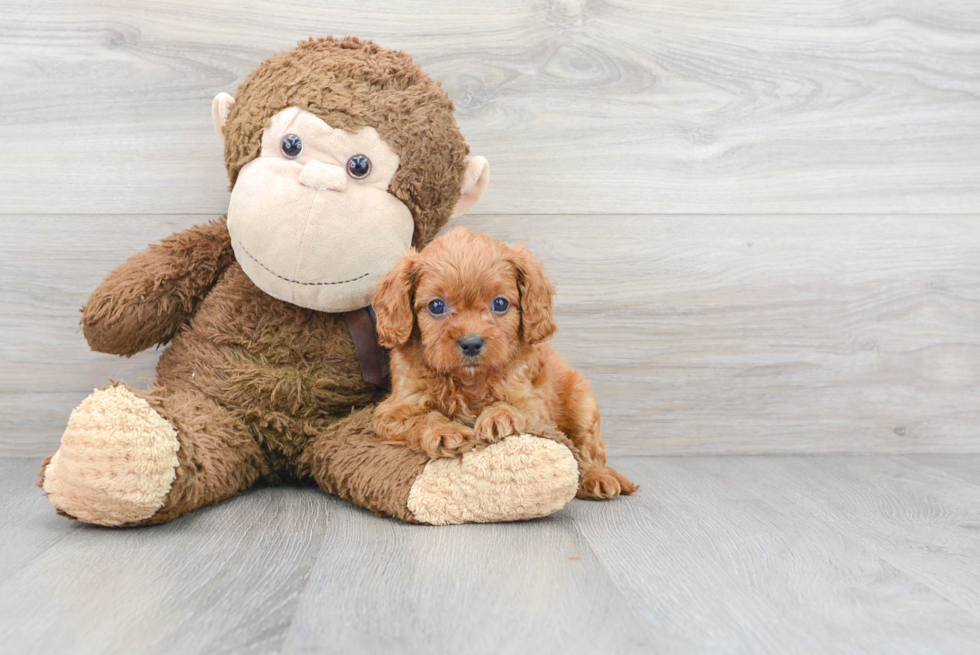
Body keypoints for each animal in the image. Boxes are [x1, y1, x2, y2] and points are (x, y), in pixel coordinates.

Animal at [374, 228, 636, 500]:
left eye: (500, 304)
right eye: (437, 306)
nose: (471, 343)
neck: (468, 380)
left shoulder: (534, 406)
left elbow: (514, 406)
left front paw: (499, 417)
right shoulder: (393, 411)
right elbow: (423, 418)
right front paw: (444, 432)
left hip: (583, 405)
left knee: (589, 449)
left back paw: (599, 478)